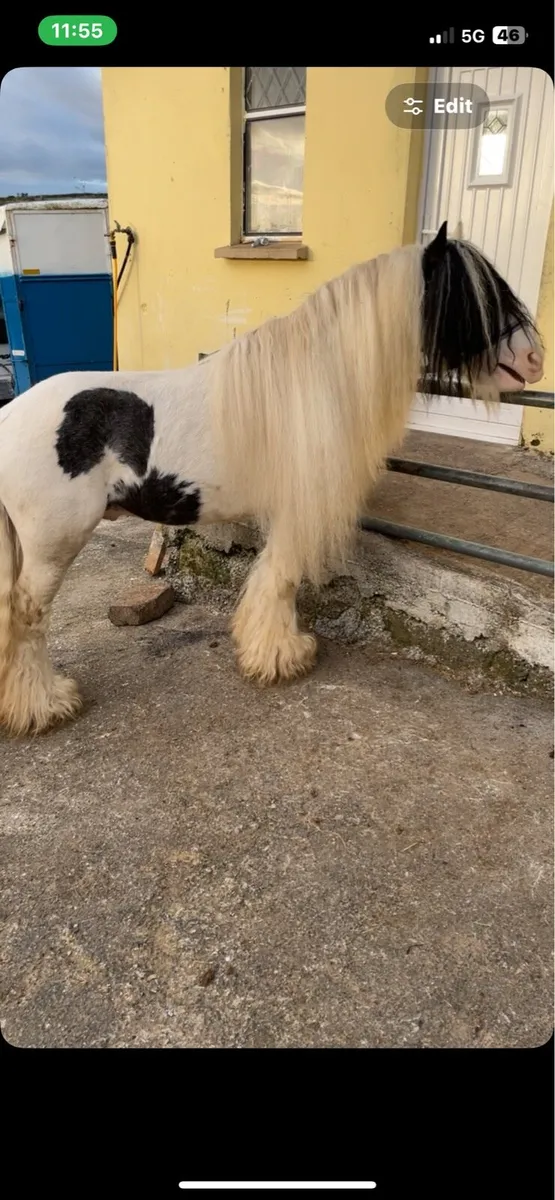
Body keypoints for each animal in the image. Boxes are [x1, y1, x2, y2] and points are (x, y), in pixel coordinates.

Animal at [0, 223, 544, 736]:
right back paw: (44, 705)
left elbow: (271, 576)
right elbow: (282, 577)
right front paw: (283, 656)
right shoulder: (298, 509)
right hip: (53, 545)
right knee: (27, 614)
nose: (535, 358)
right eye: (474, 296)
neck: (318, 381)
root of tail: (10, 415)